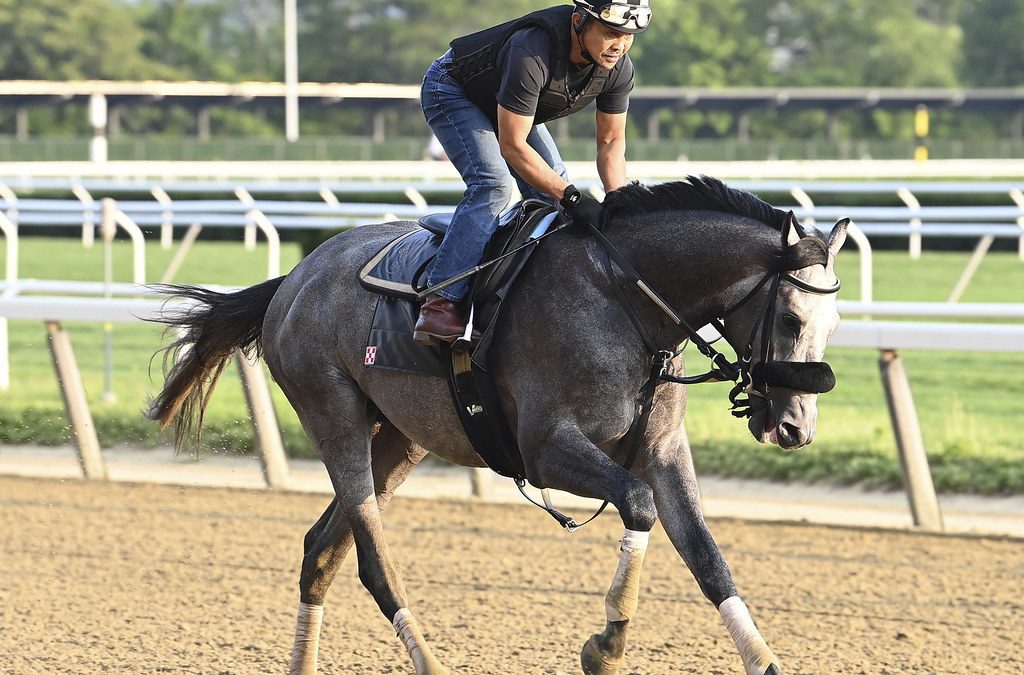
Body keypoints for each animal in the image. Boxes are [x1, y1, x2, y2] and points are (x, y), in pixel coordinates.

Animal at [146, 175, 847, 675]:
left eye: (834, 323)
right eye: (791, 318)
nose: (795, 426)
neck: (624, 300)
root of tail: (295, 277)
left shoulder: (665, 450)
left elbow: (707, 556)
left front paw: (764, 659)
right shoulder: (547, 448)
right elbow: (638, 504)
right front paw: (605, 645)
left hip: (401, 438)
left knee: (321, 552)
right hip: (332, 415)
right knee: (372, 560)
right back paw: (429, 661)